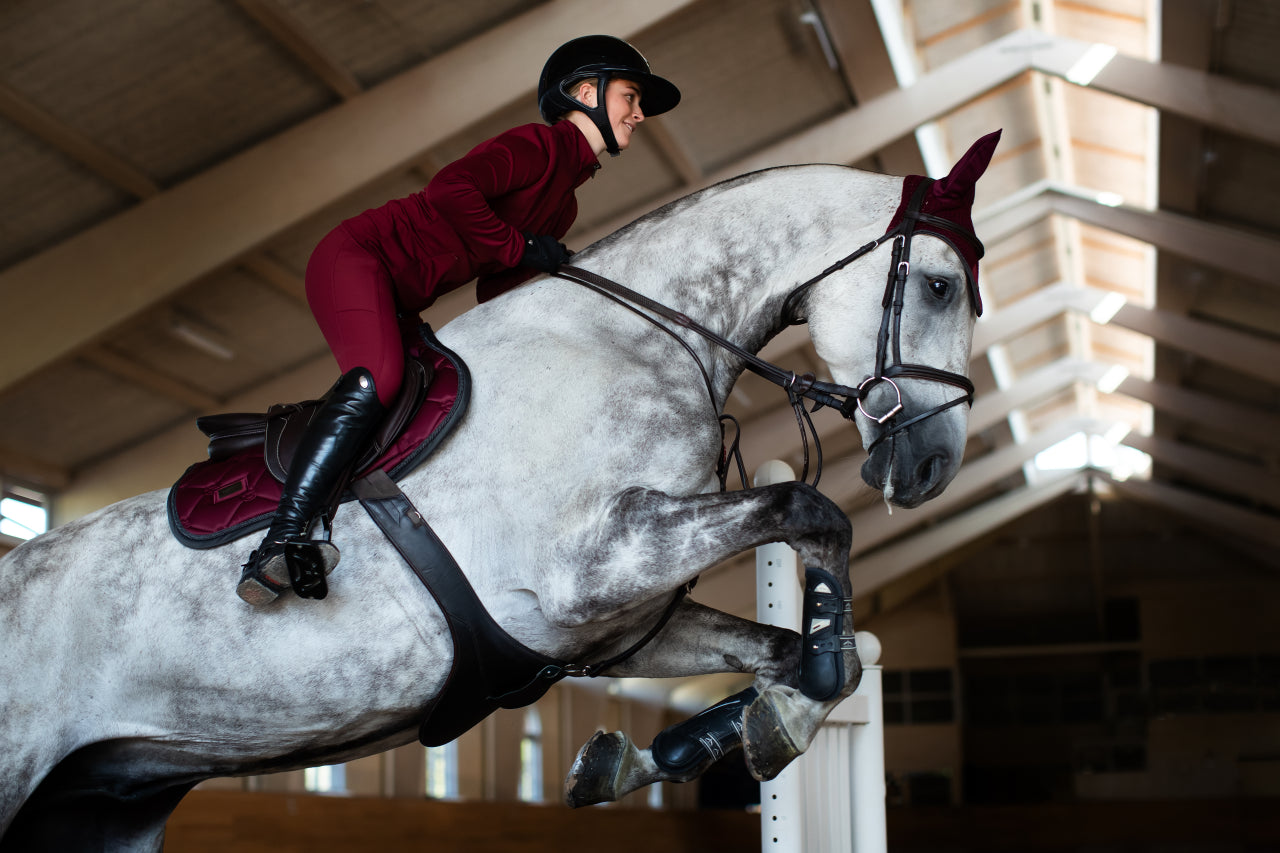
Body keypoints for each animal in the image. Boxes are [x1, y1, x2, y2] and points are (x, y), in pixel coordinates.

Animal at [0, 129, 998, 845]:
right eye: (939, 286)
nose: (930, 467)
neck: (644, 338)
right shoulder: (586, 569)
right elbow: (810, 511)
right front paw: (789, 698)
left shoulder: (621, 625)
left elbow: (797, 656)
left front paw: (695, 742)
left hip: (97, 804)